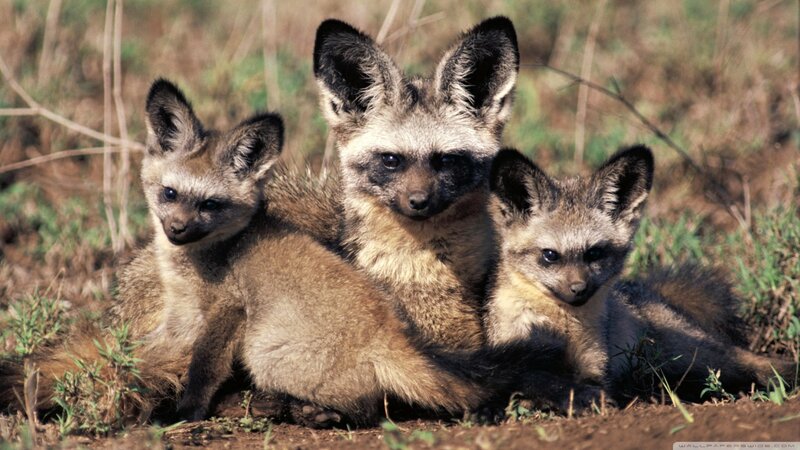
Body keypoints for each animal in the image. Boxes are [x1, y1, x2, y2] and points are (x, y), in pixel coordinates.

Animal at [485, 145, 798, 399]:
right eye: (550, 255)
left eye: (594, 253)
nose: (579, 290)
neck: (562, 326)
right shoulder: (516, 354)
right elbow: (534, 382)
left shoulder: (595, 366)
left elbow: (583, 383)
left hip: (690, 355)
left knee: (745, 361)